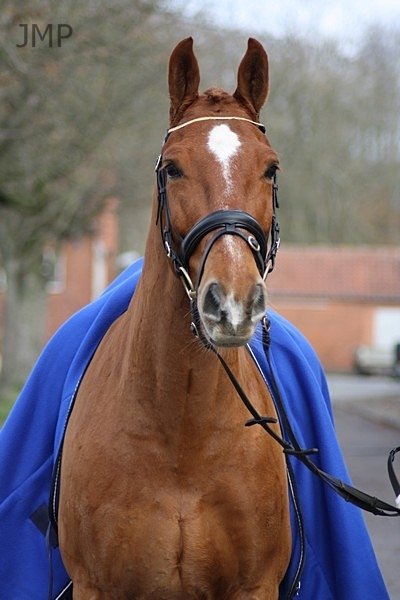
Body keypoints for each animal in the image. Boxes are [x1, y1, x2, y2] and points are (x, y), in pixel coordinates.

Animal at [58, 37, 292, 599]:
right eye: (172, 169)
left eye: (270, 169)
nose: (231, 302)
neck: (183, 437)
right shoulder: (97, 586)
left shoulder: (255, 586)